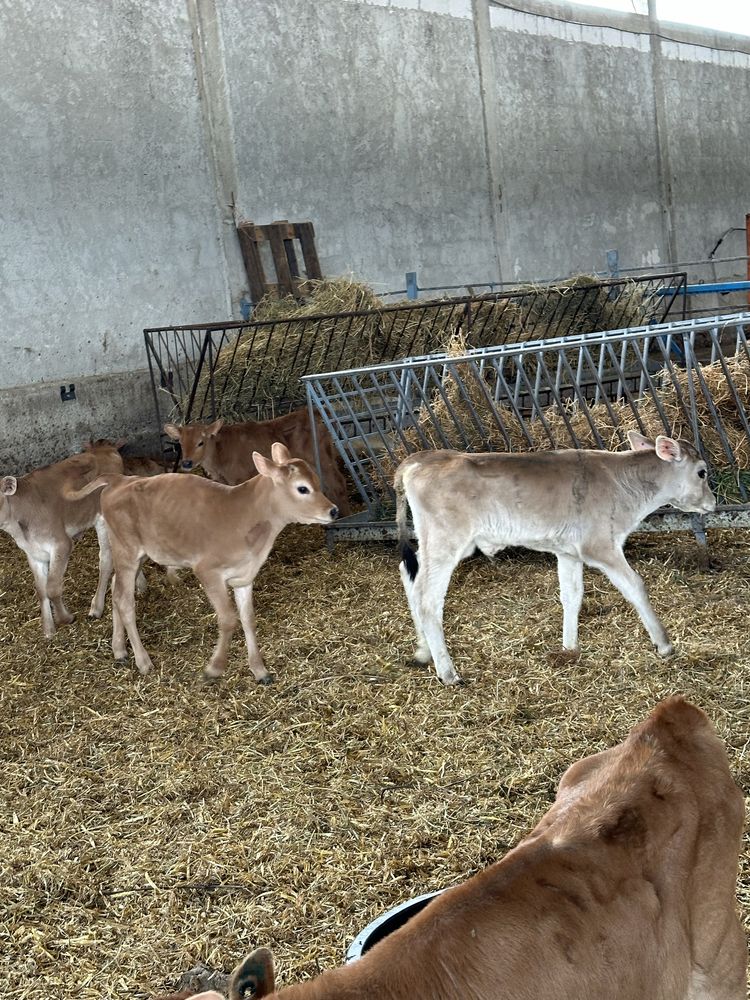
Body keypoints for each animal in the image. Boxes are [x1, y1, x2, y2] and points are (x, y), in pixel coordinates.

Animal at [0, 444, 123, 632]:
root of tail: (107, 449)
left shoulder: (61, 544)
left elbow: (52, 588)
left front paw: (65, 618)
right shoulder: (33, 553)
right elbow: (41, 589)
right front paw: (48, 629)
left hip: (103, 520)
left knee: (106, 559)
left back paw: (96, 607)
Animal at [76, 444, 338, 680]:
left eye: (316, 480)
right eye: (302, 488)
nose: (333, 510)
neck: (247, 515)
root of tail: (120, 480)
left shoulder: (244, 577)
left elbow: (248, 619)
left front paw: (259, 670)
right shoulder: (208, 572)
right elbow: (229, 619)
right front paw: (214, 668)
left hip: (139, 554)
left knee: (116, 589)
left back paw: (119, 650)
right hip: (127, 550)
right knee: (124, 599)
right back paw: (143, 661)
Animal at [164, 408, 352, 516]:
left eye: (200, 442)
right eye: (180, 443)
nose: (187, 463)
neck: (219, 454)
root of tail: (310, 411)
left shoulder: (239, 478)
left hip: (321, 459)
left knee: (338, 482)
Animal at [394, 434, 716, 684]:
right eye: (702, 472)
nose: (713, 503)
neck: (624, 484)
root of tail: (422, 458)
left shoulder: (568, 551)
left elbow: (572, 596)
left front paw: (569, 648)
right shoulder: (600, 546)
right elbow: (635, 586)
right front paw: (664, 644)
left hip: (434, 542)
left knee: (409, 574)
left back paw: (423, 652)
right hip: (447, 541)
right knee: (428, 598)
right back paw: (448, 672)